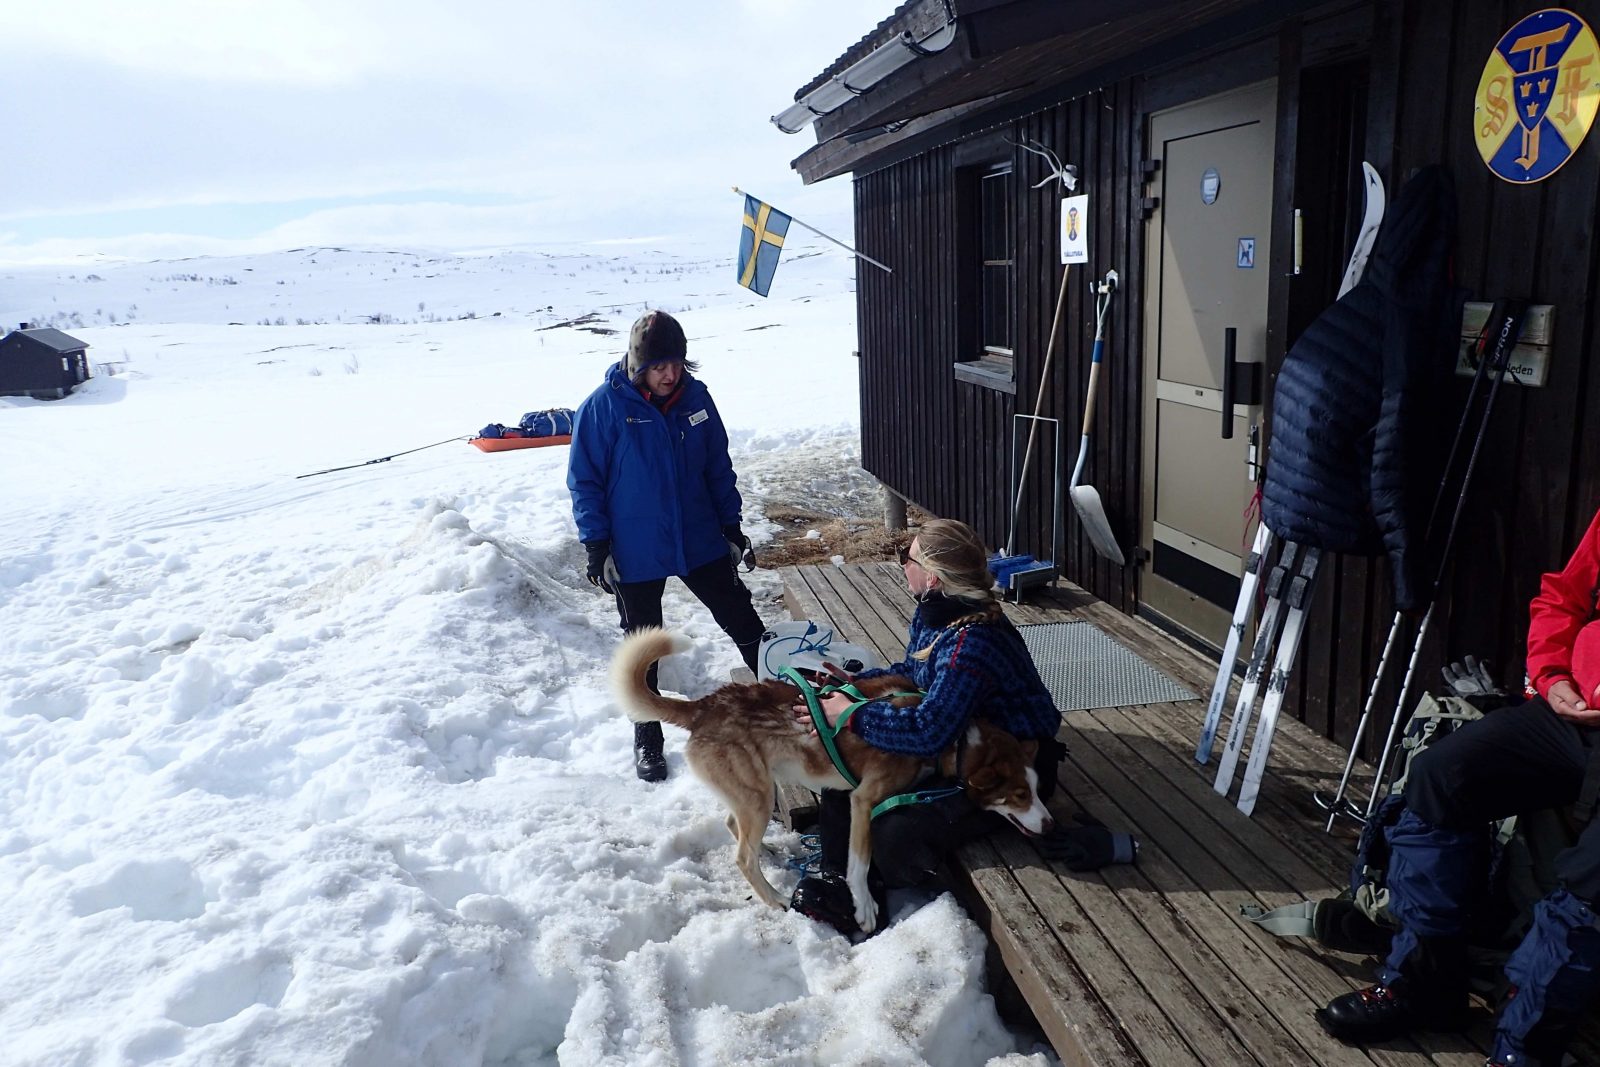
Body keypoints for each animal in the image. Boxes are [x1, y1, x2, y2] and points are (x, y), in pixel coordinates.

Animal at [608, 627, 1049, 934]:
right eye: (1018, 794)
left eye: (1037, 788)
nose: (1049, 824)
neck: (952, 740)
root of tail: (702, 707)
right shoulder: (864, 799)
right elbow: (859, 863)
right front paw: (864, 908)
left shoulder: (851, 793)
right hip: (759, 796)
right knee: (741, 857)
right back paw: (776, 897)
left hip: (756, 795)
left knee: (734, 826)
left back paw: (768, 850)